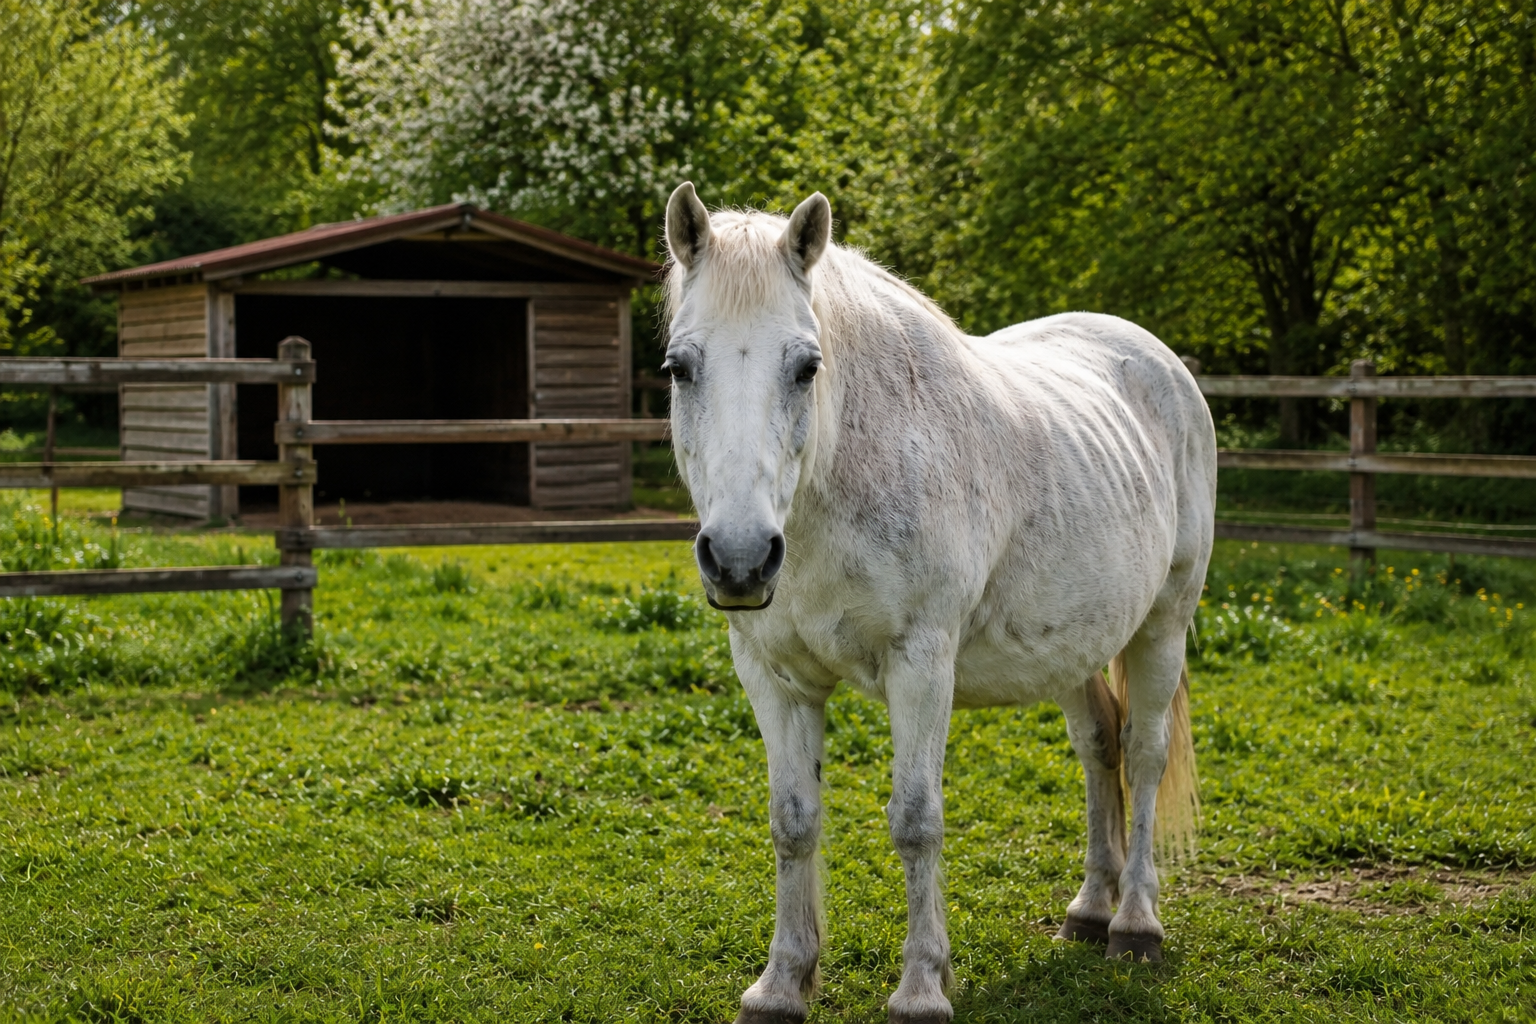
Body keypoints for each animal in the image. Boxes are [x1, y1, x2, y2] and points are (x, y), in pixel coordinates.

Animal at [661, 182, 1214, 1024]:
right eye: (680, 367)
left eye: (807, 367)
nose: (741, 558)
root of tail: (1159, 361)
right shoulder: (774, 677)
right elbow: (793, 822)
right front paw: (782, 983)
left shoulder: (921, 666)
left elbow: (916, 821)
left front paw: (922, 986)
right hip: (1076, 646)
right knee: (1099, 747)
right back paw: (1089, 910)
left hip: (1164, 623)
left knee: (1145, 754)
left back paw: (1135, 924)